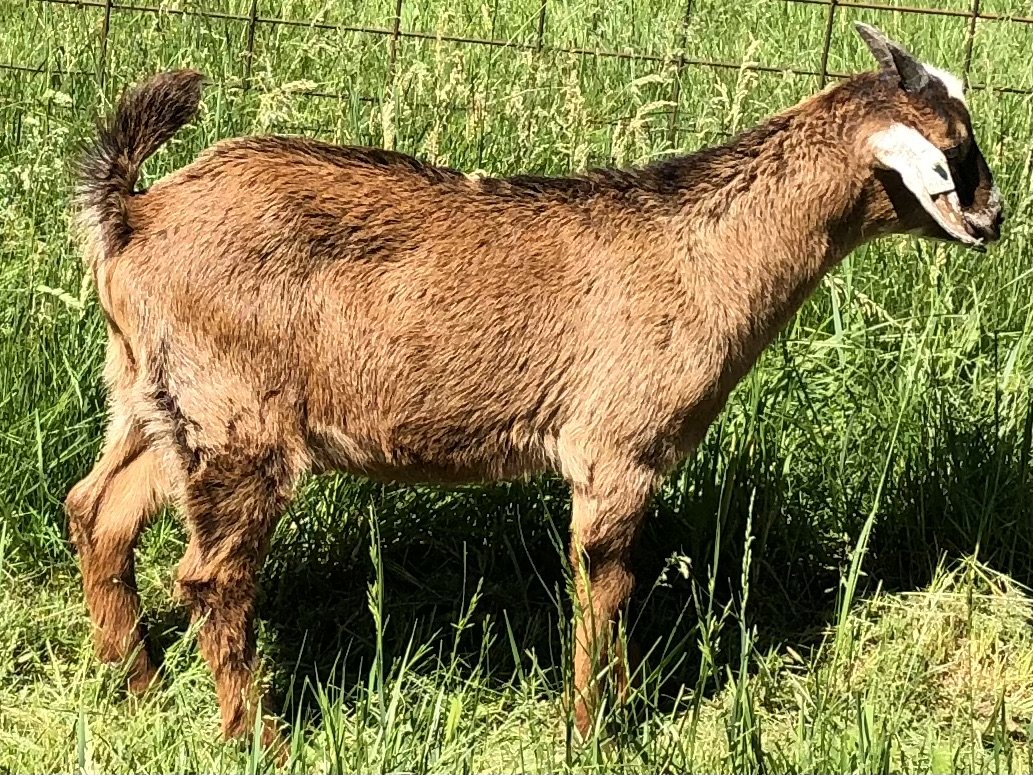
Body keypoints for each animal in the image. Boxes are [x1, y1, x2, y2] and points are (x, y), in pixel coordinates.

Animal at [66, 23, 1004, 747]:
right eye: (956, 150)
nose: (994, 219)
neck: (707, 251)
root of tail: (134, 215)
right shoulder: (617, 448)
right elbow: (605, 585)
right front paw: (594, 730)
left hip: (155, 398)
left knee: (97, 509)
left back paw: (136, 685)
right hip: (237, 417)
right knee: (211, 575)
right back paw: (256, 737)